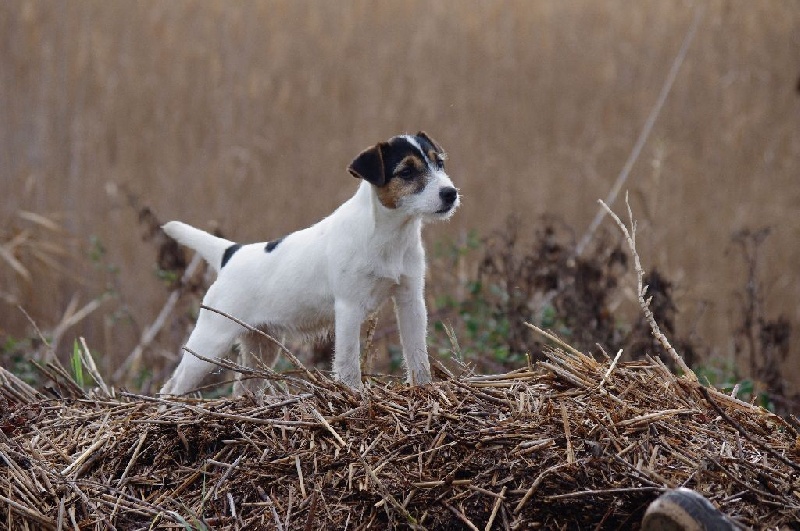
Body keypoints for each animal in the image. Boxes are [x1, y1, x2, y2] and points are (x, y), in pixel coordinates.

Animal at [159, 132, 460, 394]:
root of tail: (231, 253)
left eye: (440, 163)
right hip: (210, 341)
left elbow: (417, 355)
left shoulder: (410, 301)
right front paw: (355, 396)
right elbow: (348, 363)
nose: (450, 193)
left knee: (244, 388)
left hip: (261, 344)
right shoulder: (349, 308)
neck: (389, 235)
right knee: (171, 388)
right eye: (407, 171)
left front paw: (424, 389)